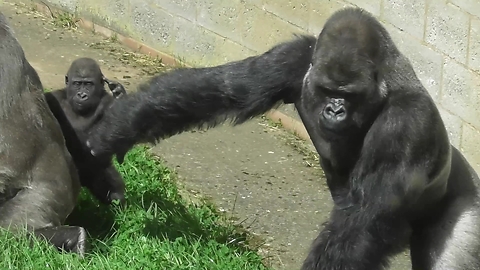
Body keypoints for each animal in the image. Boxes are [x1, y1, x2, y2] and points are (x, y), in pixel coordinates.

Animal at [44, 57, 126, 205]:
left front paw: (120, 95)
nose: (82, 95)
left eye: (89, 84)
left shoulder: (107, 102)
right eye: (77, 83)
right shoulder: (52, 98)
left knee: (115, 195)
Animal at [86, 7, 480, 268]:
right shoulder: (296, 56)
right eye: (327, 89)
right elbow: (223, 89)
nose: (335, 110)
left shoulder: (408, 122)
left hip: (467, 201)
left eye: (349, 95)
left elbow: (363, 220)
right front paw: (116, 130)